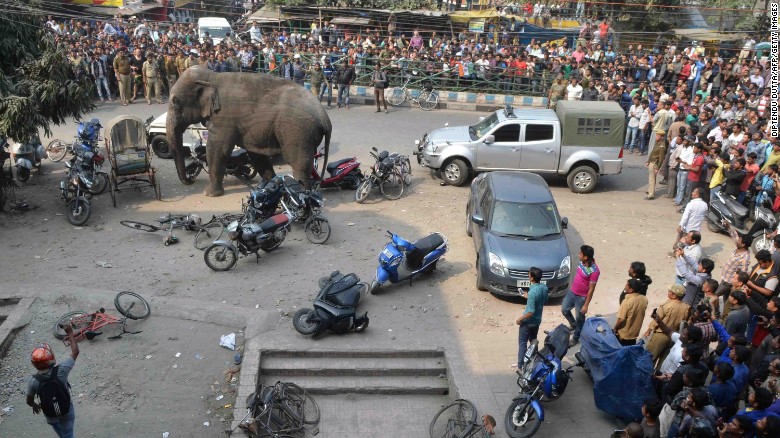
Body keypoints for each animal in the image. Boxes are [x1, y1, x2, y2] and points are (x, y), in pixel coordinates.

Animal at [166, 66, 330, 196]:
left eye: (175, 101)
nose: (191, 178)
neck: (211, 77)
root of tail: (325, 117)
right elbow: (255, 153)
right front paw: (267, 187)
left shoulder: (224, 118)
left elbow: (217, 149)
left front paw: (209, 194)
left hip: (297, 131)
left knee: (298, 162)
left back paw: (301, 194)